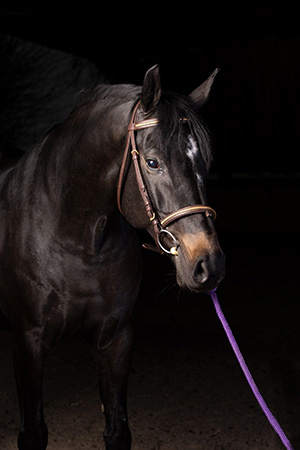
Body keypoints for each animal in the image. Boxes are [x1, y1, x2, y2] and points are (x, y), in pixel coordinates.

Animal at [0, 64, 225, 450]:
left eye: (205, 162)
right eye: (152, 162)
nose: (207, 263)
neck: (76, 242)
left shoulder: (116, 340)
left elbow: (117, 430)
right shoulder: (28, 341)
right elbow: (33, 433)